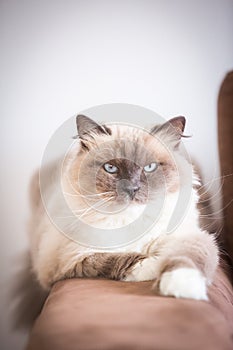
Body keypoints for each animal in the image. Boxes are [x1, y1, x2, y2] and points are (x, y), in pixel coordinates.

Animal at [26, 115, 218, 304]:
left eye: (150, 167)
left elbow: (186, 257)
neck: (130, 220)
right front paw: (156, 264)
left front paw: (182, 287)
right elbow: (122, 260)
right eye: (111, 168)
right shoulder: (73, 257)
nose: (132, 189)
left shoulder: (189, 237)